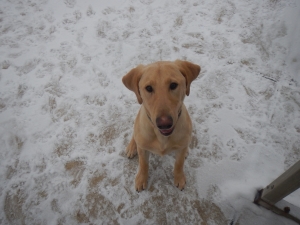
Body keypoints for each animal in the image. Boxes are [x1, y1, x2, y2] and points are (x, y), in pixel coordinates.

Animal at [122, 59, 202, 192]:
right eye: (148, 88)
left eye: (173, 85)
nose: (164, 124)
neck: (162, 137)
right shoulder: (143, 150)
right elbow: (143, 164)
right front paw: (141, 178)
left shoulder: (180, 149)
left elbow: (179, 164)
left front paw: (179, 178)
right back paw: (132, 147)